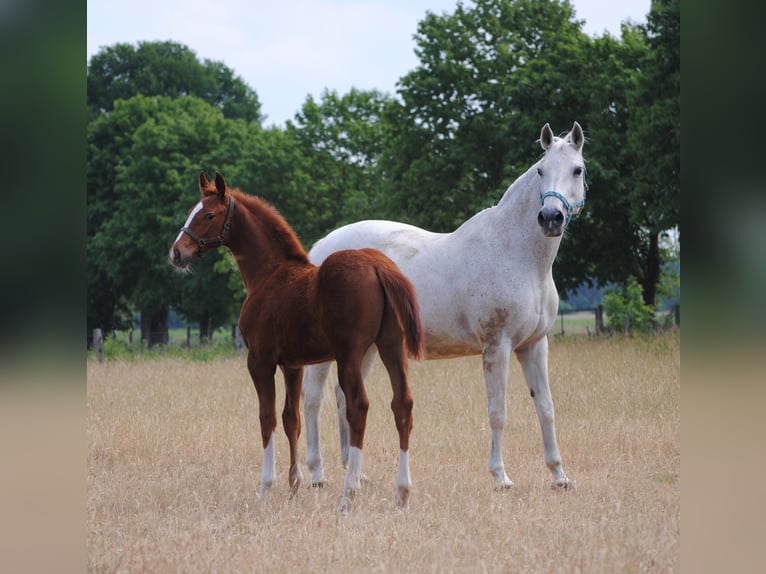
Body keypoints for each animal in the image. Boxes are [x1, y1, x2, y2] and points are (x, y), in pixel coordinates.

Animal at [304, 121, 584, 490]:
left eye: (577, 170)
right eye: (540, 170)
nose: (550, 217)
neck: (516, 254)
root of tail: (322, 248)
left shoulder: (534, 345)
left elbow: (547, 408)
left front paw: (559, 475)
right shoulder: (498, 347)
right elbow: (498, 413)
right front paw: (501, 477)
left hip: (365, 348)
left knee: (343, 396)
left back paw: (355, 471)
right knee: (312, 399)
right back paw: (317, 474)